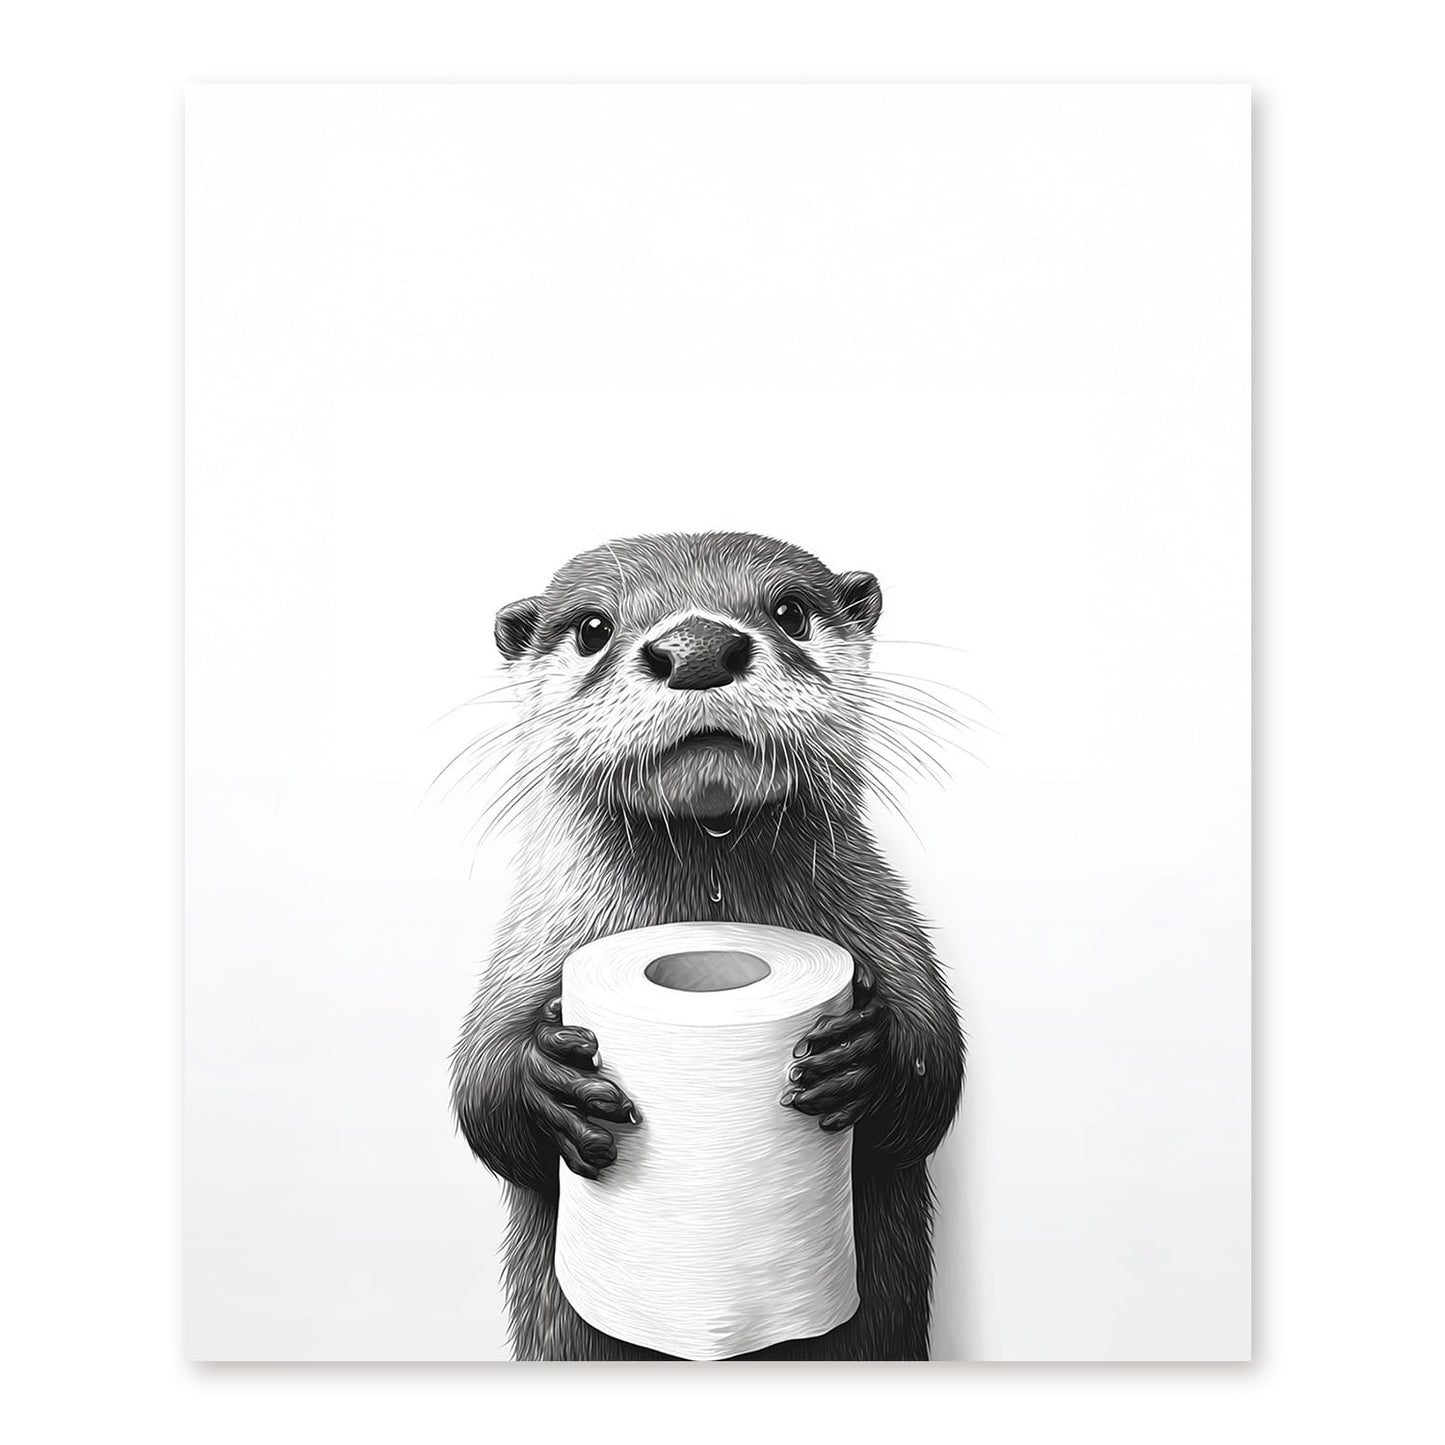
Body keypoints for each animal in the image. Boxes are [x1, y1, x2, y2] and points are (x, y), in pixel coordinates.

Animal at [450, 531, 965, 1360]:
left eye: (789, 611)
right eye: (592, 628)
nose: (697, 648)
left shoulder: (893, 932)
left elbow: (933, 1081)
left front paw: (863, 1054)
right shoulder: (525, 950)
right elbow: (480, 1100)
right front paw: (550, 1083)